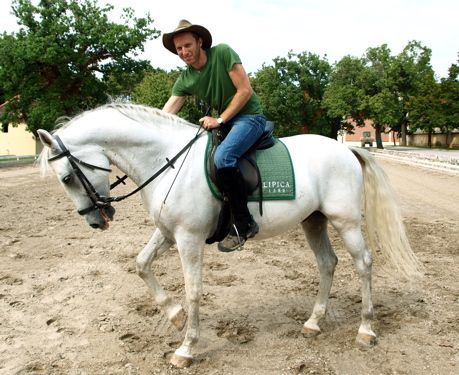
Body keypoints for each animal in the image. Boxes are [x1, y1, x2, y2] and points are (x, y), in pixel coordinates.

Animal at [37, 104, 422, 368]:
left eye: (67, 178)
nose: (95, 222)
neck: (168, 162)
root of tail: (345, 149)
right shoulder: (168, 232)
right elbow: (141, 264)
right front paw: (174, 315)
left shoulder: (189, 239)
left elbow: (193, 291)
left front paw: (186, 348)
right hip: (313, 221)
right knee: (328, 263)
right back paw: (313, 323)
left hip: (345, 222)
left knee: (363, 264)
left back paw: (366, 330)